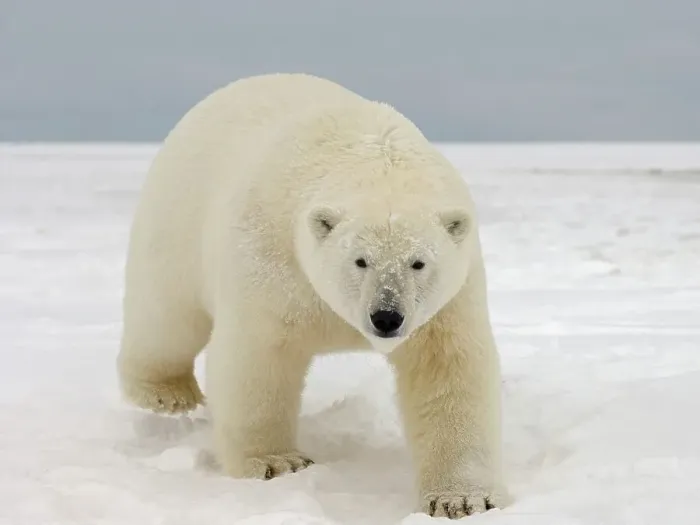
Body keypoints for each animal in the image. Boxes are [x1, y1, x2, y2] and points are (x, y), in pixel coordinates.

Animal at [116, 73, 507, 519]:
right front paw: (275, 462)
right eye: (360, 260)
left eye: (418, 262)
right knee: (168, 317)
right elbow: (258, 356)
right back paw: (167, 394)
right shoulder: (272, 260)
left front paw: (461, 499)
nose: (386, 317)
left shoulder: (450, 298)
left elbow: (449, 369)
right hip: (177, 220)